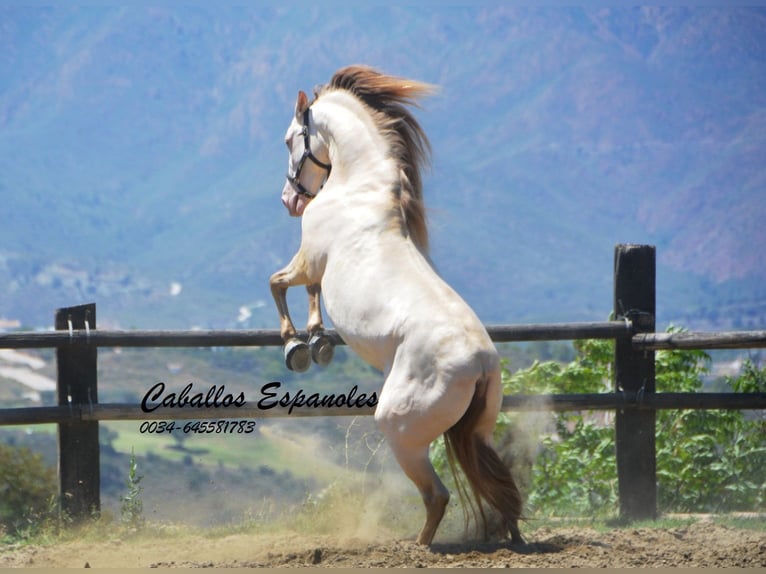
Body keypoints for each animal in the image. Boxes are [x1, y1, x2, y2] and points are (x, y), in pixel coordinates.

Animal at [268, 65, 524, 548]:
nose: (289, 202)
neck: (358, 188)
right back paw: (510, 535)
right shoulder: (315, 266)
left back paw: (420, 545)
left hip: (399, 430)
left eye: (290, 138)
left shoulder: (309, 258)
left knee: (438, 495)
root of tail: (480, 366)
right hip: (477, 431)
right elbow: (309, 294)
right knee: (497, 482)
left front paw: (295, 346)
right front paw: (317, 341)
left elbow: (279, 284)